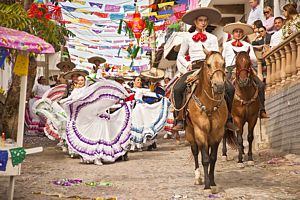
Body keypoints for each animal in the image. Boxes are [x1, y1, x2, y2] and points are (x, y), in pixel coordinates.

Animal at [185, 50, 237, 191]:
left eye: (224, 64)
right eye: (208, 64)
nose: (219, 86)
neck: (208, 104)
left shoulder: (217, 133)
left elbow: (212, 158)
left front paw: (212, 182)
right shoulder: (200, 132)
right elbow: (205, 159)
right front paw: (207, 185)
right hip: (189, 131)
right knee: (195, 151)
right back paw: (198, 177)